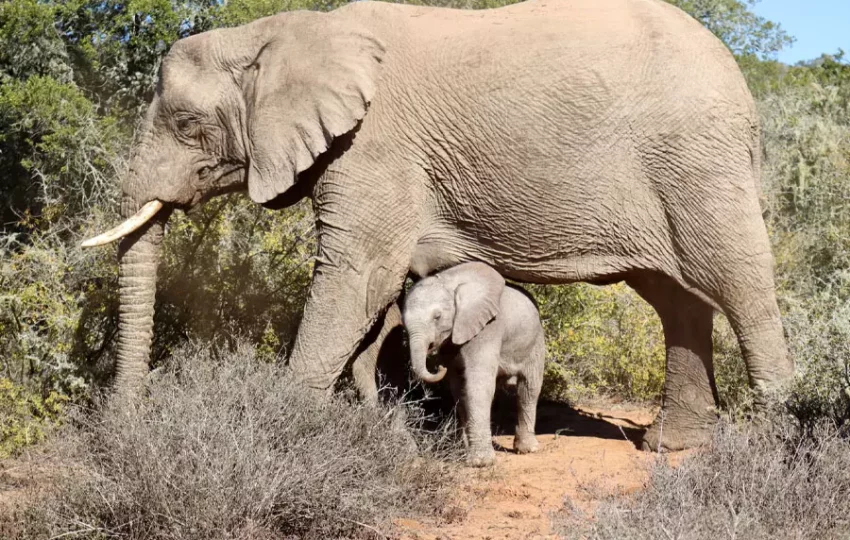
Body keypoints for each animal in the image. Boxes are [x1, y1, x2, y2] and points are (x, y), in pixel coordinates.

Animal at [402, 262, 544, 464]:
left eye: (437, 317)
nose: (439, 367)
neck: (449, 283)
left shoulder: (487, 327)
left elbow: (479, 385)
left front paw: (480, 462)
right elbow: (459, 387)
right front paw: (464, 453)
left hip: (535, 340)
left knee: (529, 388)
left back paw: (527, 449)